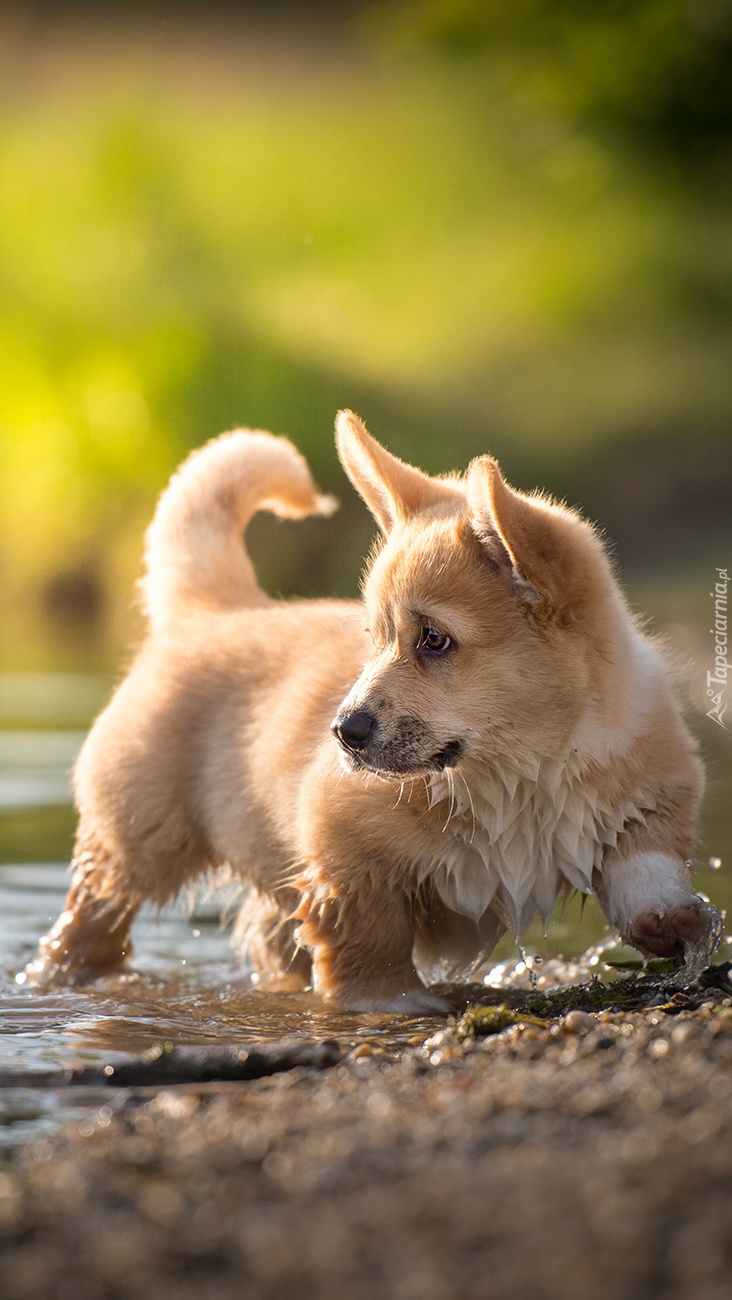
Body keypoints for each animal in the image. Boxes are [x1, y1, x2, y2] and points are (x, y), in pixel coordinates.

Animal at [28, 410, 722, 1008]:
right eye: (376, 637)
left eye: (434, 639)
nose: (342, 732)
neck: (521, 774)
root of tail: (213, 608)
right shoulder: (344, 851)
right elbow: (369, 936)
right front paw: (388, 1003)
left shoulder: (650, 798)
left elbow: (646, 872)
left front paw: (677, 922)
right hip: (135, 839)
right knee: (90, 921)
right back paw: (57, 976)